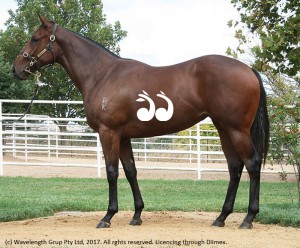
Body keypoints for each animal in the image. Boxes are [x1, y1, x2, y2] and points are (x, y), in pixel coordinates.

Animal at [12, 15, 270, 229]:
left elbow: (112, 172)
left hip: (237, 130)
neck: (102, 74)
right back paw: (221, 217)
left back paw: (248, 218)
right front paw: (137, 215)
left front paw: (108, 216)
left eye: (35, 38)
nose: (16, 68)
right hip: (223, 129)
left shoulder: (108, 133)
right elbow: (131, 171)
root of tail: (248, 69)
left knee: (252, 164)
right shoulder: (124, 136)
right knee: (235, 167)